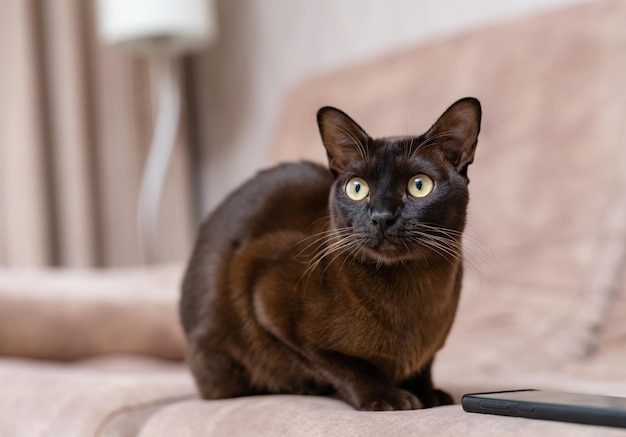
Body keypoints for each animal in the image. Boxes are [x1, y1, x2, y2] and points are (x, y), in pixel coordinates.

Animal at [178, 97, 480, 410]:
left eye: (419, 185)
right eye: (357, 188)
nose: (381, 217)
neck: (413, 293)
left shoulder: (430, 350)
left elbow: (424, 366)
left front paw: (429, 394)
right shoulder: (267, 302)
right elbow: (347, 366)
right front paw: (388, 398)